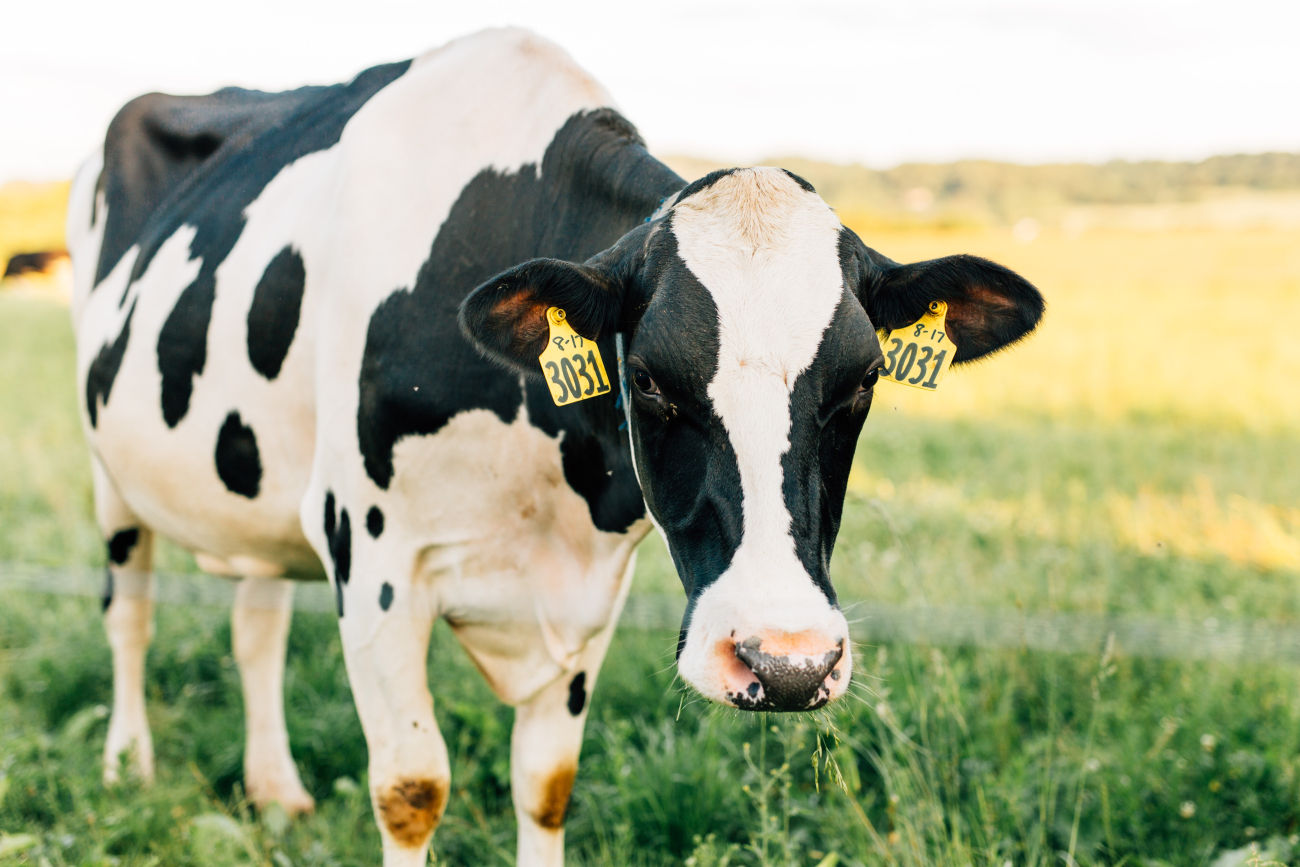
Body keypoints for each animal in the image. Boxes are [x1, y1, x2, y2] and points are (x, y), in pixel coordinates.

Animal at [66, 27, 1043, 867]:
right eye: (646, 377)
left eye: (863, 380)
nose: (788, 661)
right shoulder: (373, 557)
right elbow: (410, 788)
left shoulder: (588, 587)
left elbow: (546, 784)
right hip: (111, 473)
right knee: (129, 614)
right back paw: (125, 762)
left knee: (256, 622)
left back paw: (275, 787)